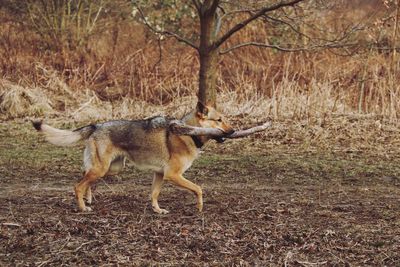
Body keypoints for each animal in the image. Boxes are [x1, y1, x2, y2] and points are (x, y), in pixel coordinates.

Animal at [33, 101, 234, 215]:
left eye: (224, 119)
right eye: (219, 120)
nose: (233, 131)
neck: (190, 133)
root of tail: (96, 126)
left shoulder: (160, 175)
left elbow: (154, 194)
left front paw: (157, 210)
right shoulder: (172, 175)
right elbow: (198, 189)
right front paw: (199, 208)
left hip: (110, 169)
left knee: (84, 177)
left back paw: (87, 200)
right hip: (102, 169)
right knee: (78, 185)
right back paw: (83, 208)